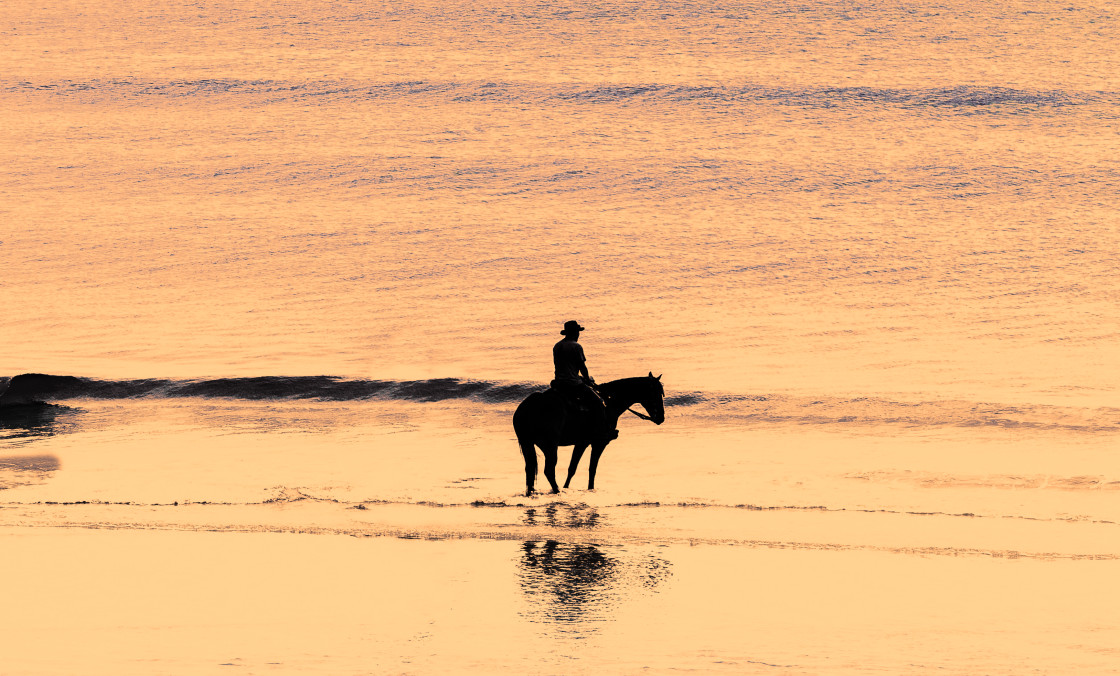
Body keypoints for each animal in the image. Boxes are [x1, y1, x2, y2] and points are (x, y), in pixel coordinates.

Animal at [512, 369, 663, 496]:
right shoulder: (599, 443)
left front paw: (567, 487)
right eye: (656, 393)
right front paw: (590, 489)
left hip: (527, 444)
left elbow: (572, 468)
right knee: (548, 470)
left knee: (530, 469)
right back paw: (557, 491)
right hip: (550, 446)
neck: (608, 405)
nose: (661, 417)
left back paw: (532, 492)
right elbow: (592, 468)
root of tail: (527, 408)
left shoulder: (581, 443)